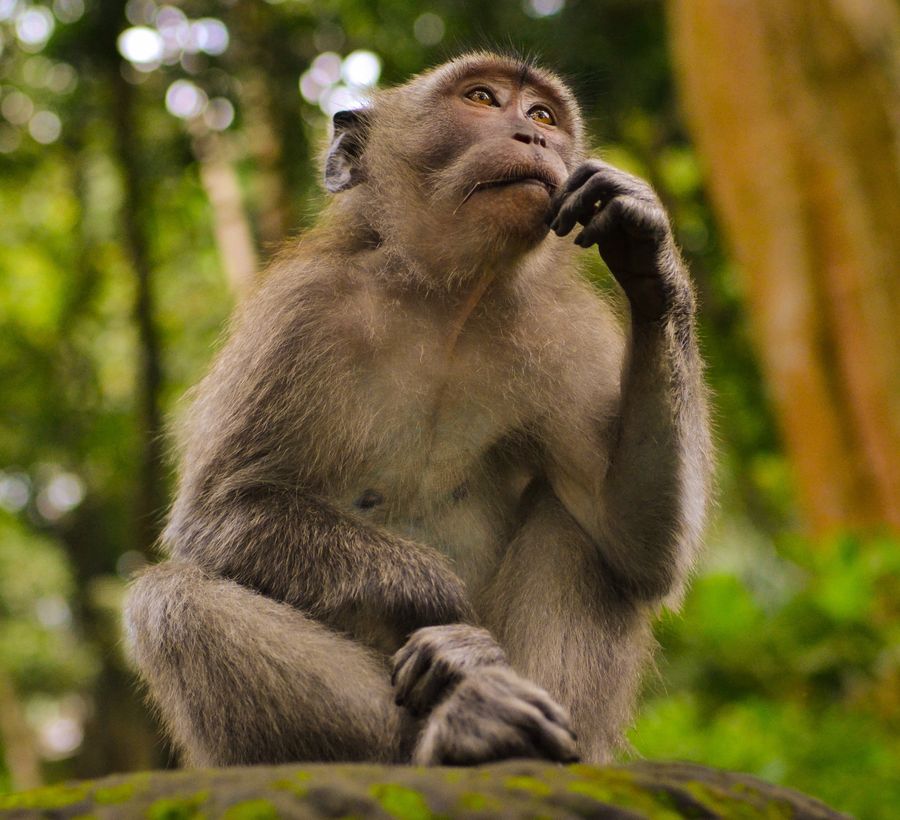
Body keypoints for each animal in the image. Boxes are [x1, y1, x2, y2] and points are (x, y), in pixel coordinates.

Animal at [125, 52, 712, 768]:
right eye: (482, 99)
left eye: (544, 114)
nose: (534, 137)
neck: (446, 302)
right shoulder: (299, 315)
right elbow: (219, 513)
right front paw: (448, 612)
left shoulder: (564, 334)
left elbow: (635, 541)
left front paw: (646, 245)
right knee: (170, 600)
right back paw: (463, 724)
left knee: (578, 528)